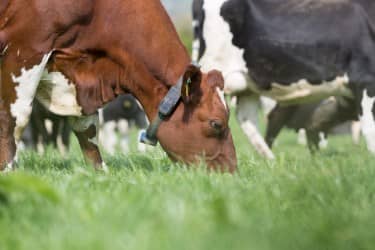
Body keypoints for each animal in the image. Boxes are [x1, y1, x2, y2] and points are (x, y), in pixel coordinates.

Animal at [0, 0, 236, 172]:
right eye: (216, 124)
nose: (232, 173)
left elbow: (87, 127)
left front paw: (99, 172)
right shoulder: (26, 46)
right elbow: (15, 117)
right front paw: (9, 170)